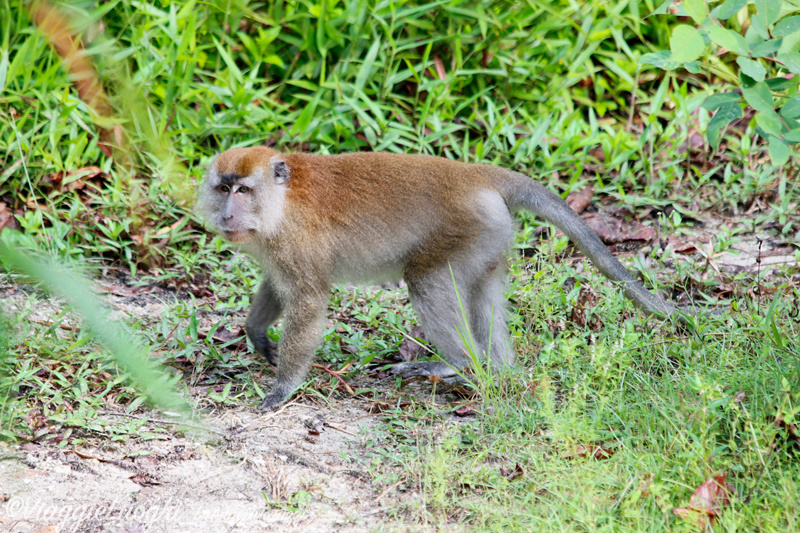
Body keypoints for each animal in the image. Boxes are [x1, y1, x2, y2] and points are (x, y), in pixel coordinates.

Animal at [197, 148, 680, 410]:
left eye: (243, 190)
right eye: (223, 188)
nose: (228, 214)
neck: (281, 200)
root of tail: (474, 173)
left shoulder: (293, 240)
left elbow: (309, 299)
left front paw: (283, 388)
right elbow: (278, 288)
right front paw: (257, 333)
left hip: (466, 228)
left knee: (425, 280)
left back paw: (459, 364)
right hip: (491, 234)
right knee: (482, 290)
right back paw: (497, 369)